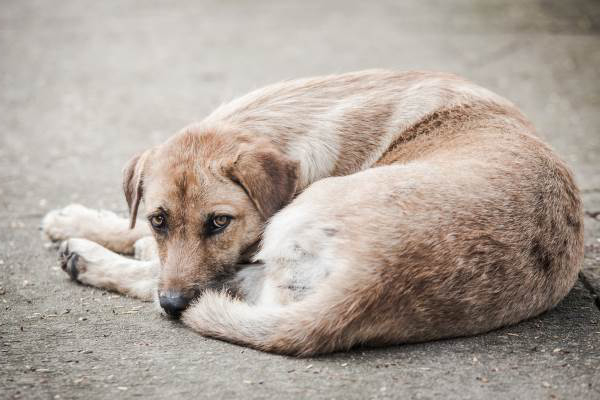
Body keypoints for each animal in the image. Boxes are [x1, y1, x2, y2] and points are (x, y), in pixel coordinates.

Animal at [39, 70, 584, 354]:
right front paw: (82, 221)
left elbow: (158, 265)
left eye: (219, 222)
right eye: (159, 219)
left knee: (176, 285)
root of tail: (373, 280)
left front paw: (100, 241)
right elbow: (135, 230)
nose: (175, 304)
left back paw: (88, 260)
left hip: (287, 240)